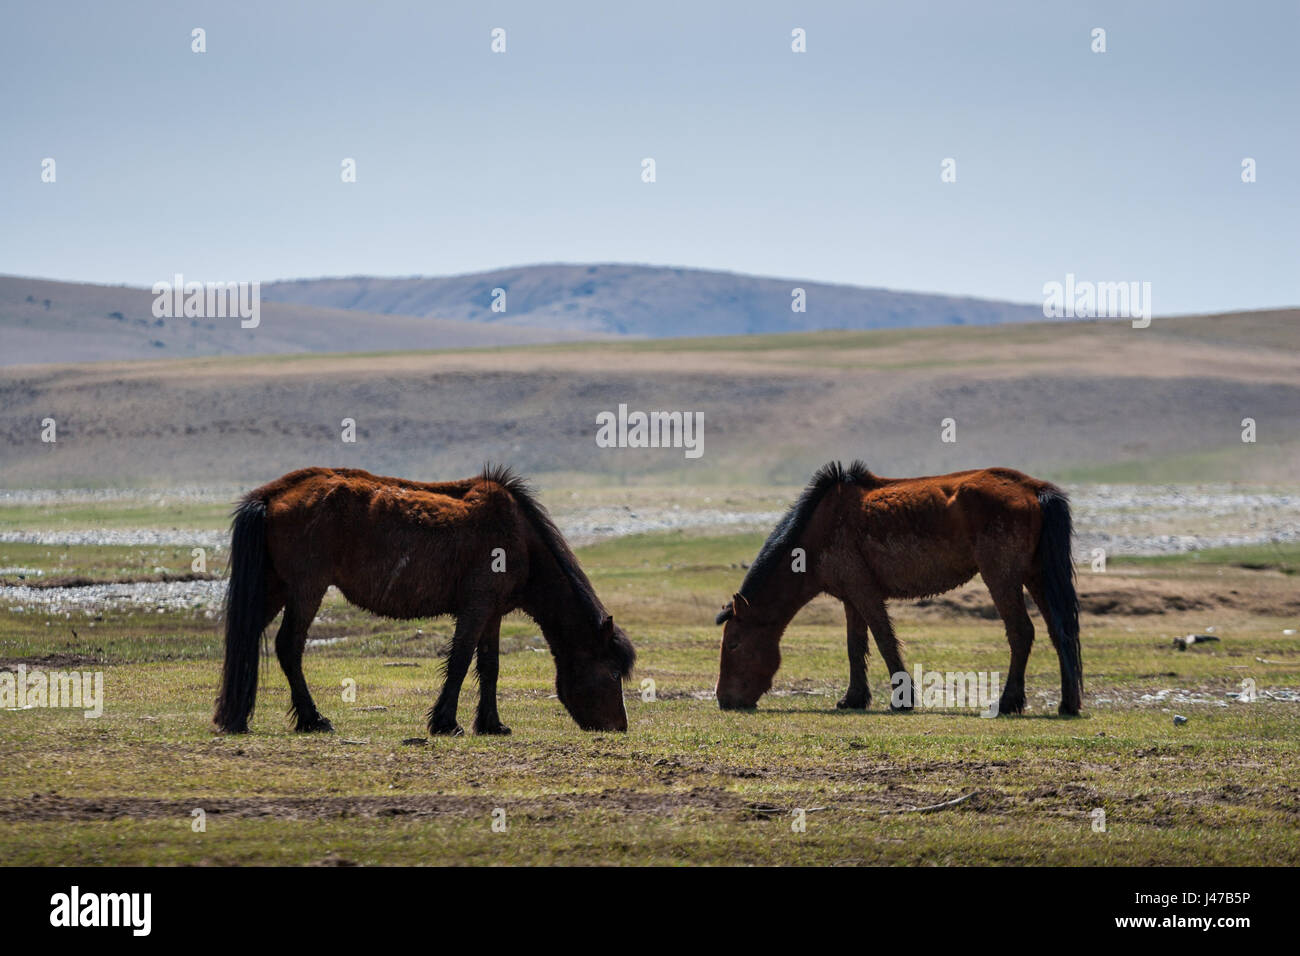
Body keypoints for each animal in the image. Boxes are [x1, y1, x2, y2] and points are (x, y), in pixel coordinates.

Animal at [213, 465, 635, 737]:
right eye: (612, 672)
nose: (619, 727)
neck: (520, 538)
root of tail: (272, 496)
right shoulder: (476, 607)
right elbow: (461, 660)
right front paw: (446, 722)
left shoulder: (492, 613)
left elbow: (490, 666)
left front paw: (492, 724)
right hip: (306, 590)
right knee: (288, 646)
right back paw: (312, 720)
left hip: (274, 587)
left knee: (247, 639)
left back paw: (235, 717)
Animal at [714, 461, 1082, 717]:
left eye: (733, 644)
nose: (723, 699)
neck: (817, 532)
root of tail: (1033, 489)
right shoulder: (851, 598)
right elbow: (855, 646)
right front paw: (853, 698)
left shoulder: (864, 592)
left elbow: (883, 640)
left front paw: (901, 700)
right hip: (1036, 576)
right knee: (1060, 631)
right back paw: (1068, 703)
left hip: (1002, 577)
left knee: (1021, 632)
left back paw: (1008, 702)